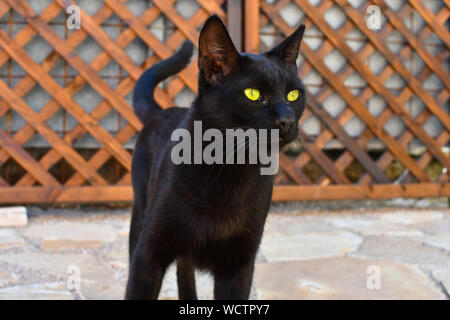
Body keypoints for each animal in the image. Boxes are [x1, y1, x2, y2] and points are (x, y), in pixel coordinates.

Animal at [125, 15, 306, 300]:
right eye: (253, 94)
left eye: (293, 95)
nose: (287, 120)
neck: (229, 170)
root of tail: (162, 111)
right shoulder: (149, 253)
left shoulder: (239, 265)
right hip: (139, 217)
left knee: (184, 267)